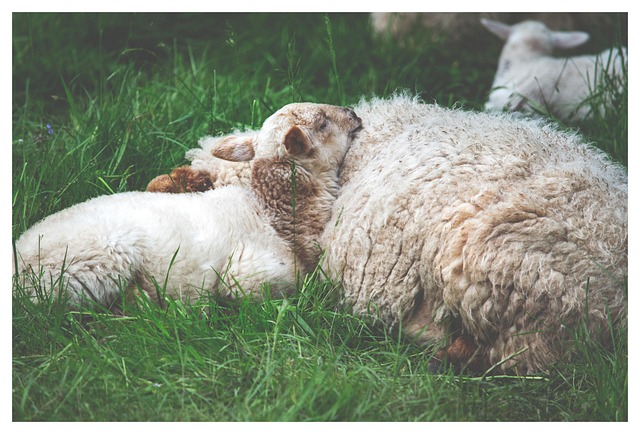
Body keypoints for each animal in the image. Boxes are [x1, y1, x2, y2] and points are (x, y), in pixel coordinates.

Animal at [13, 102, 362, 308]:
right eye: (322, 123)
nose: (354, 113)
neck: (274, 212)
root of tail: (17, 265)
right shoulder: (251, 271)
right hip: (93, 264)